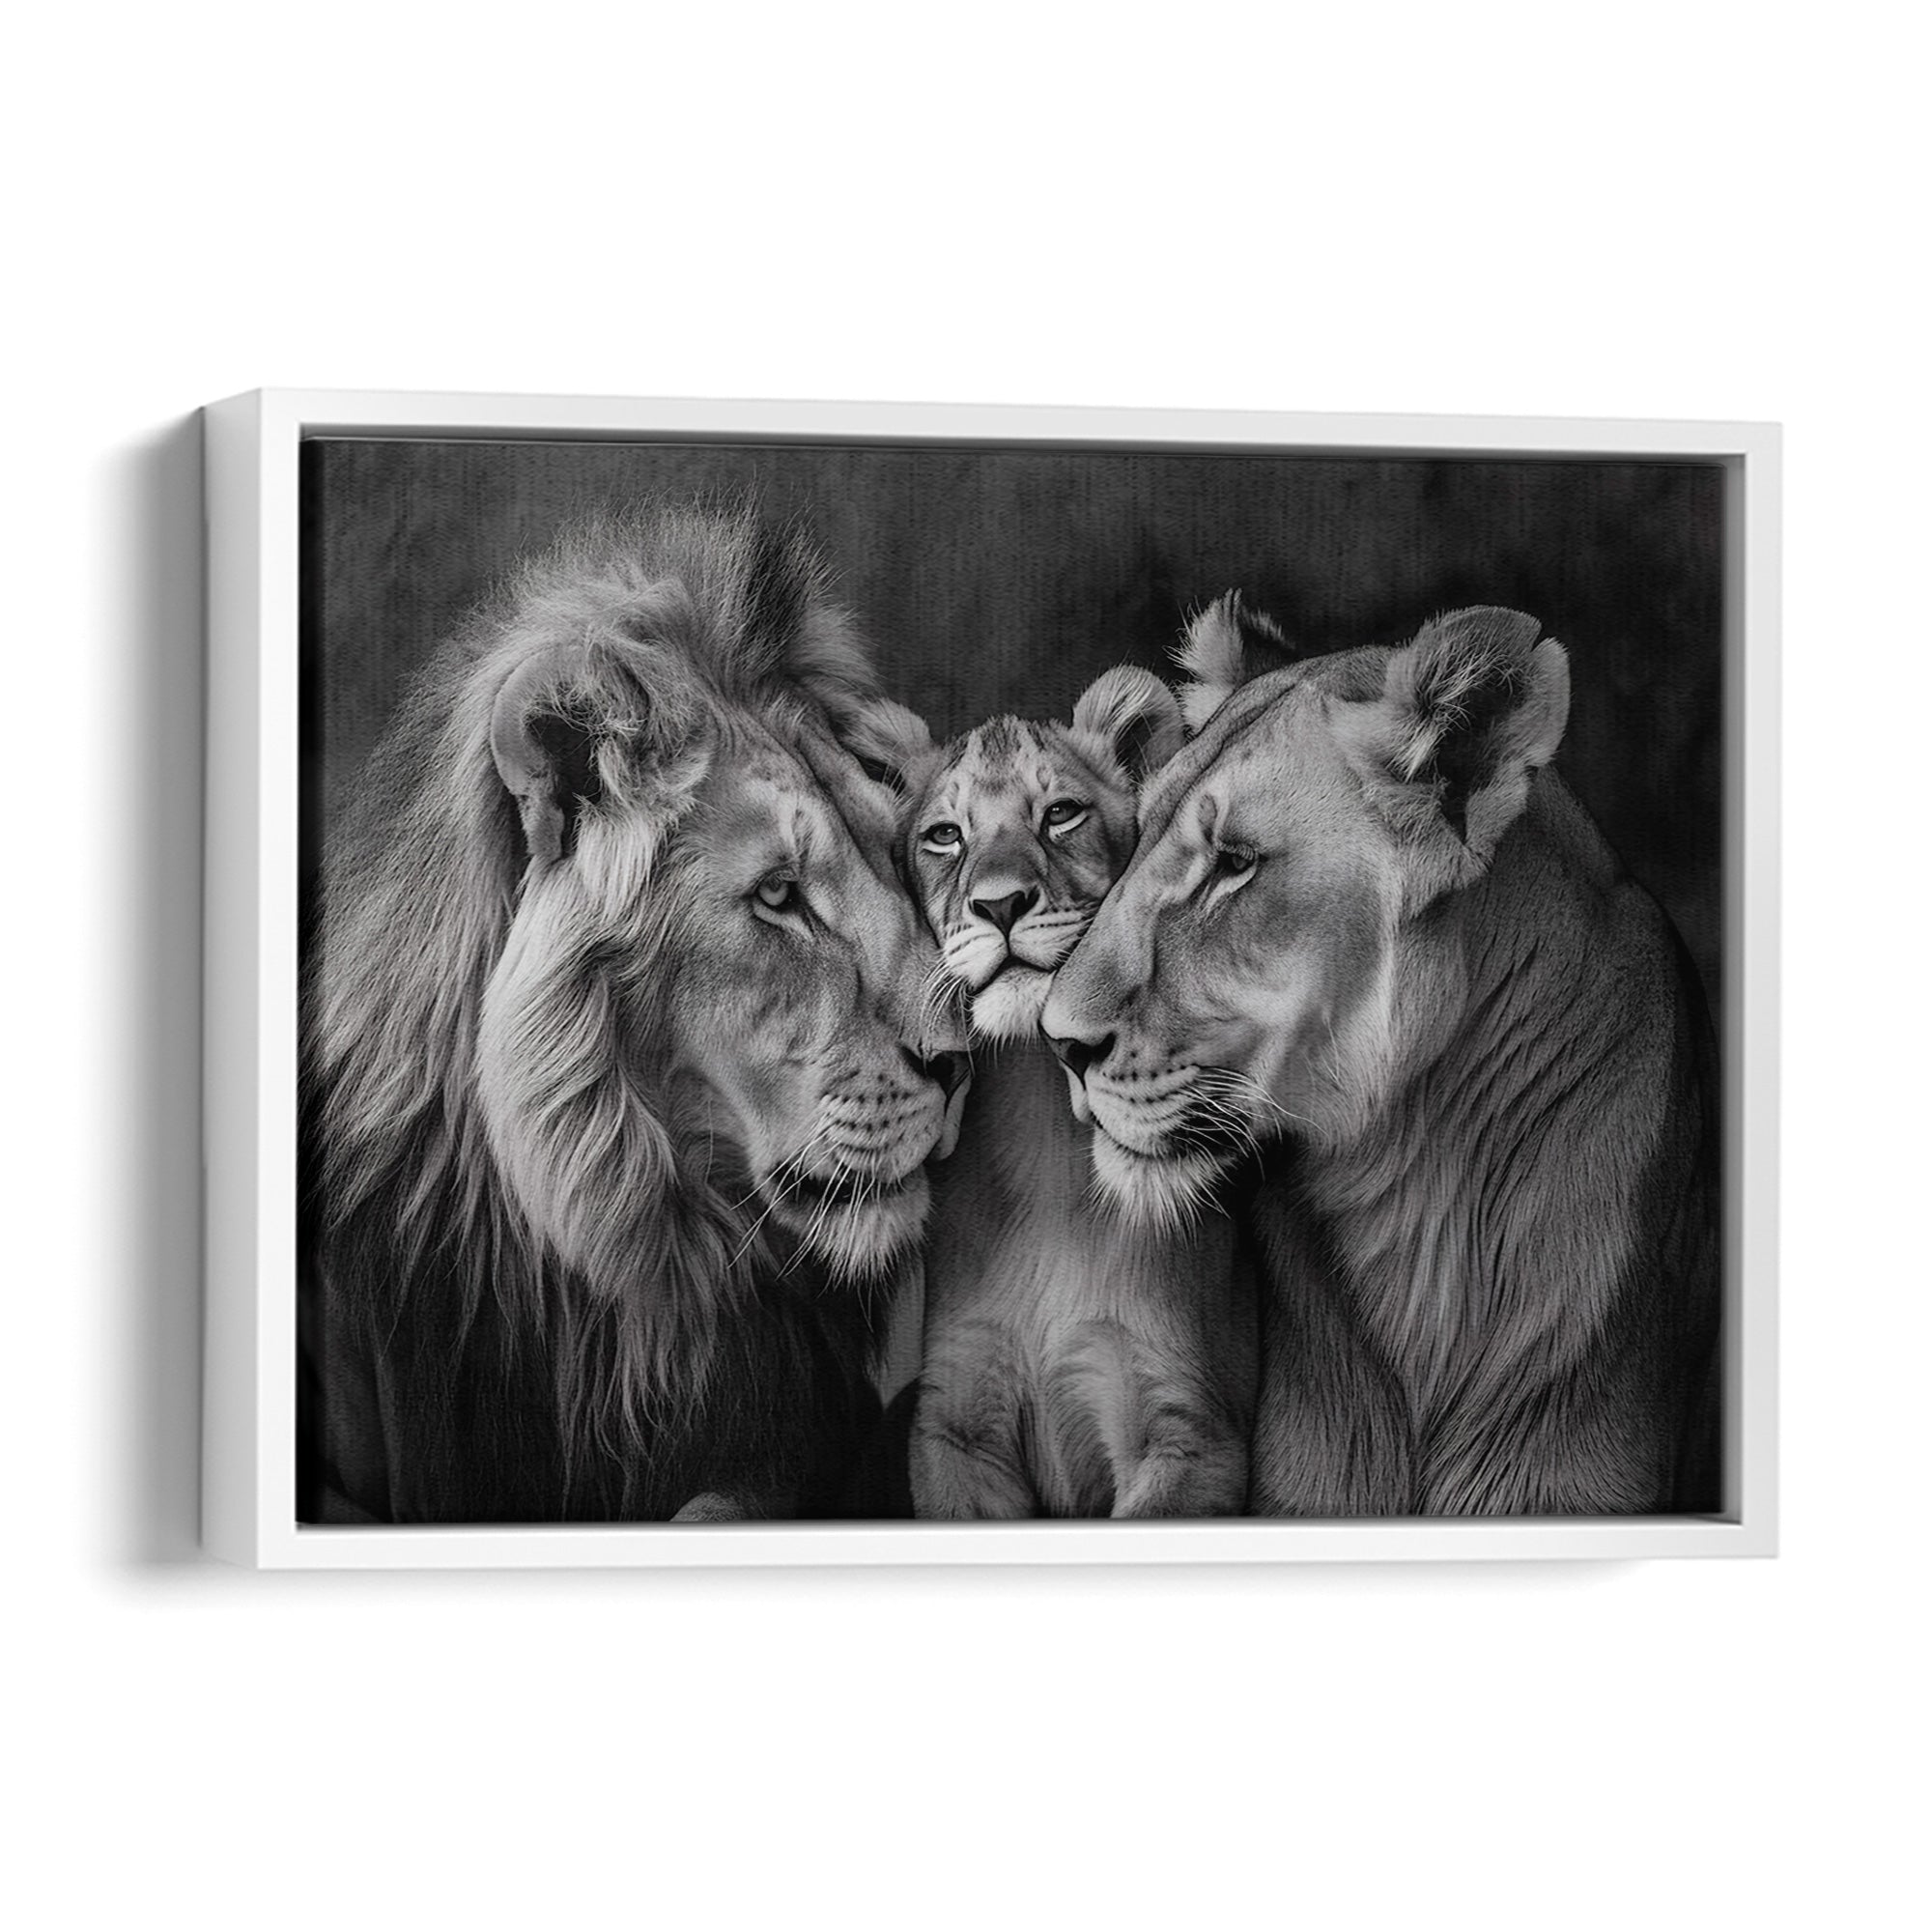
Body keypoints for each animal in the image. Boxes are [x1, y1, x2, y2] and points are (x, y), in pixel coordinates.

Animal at [857, 674, 1257, 1519]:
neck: (1039, 1123)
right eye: (946, 835)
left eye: (1061, 813)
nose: (1001, 904)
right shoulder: (956, 1424)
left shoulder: (1189, 1432)